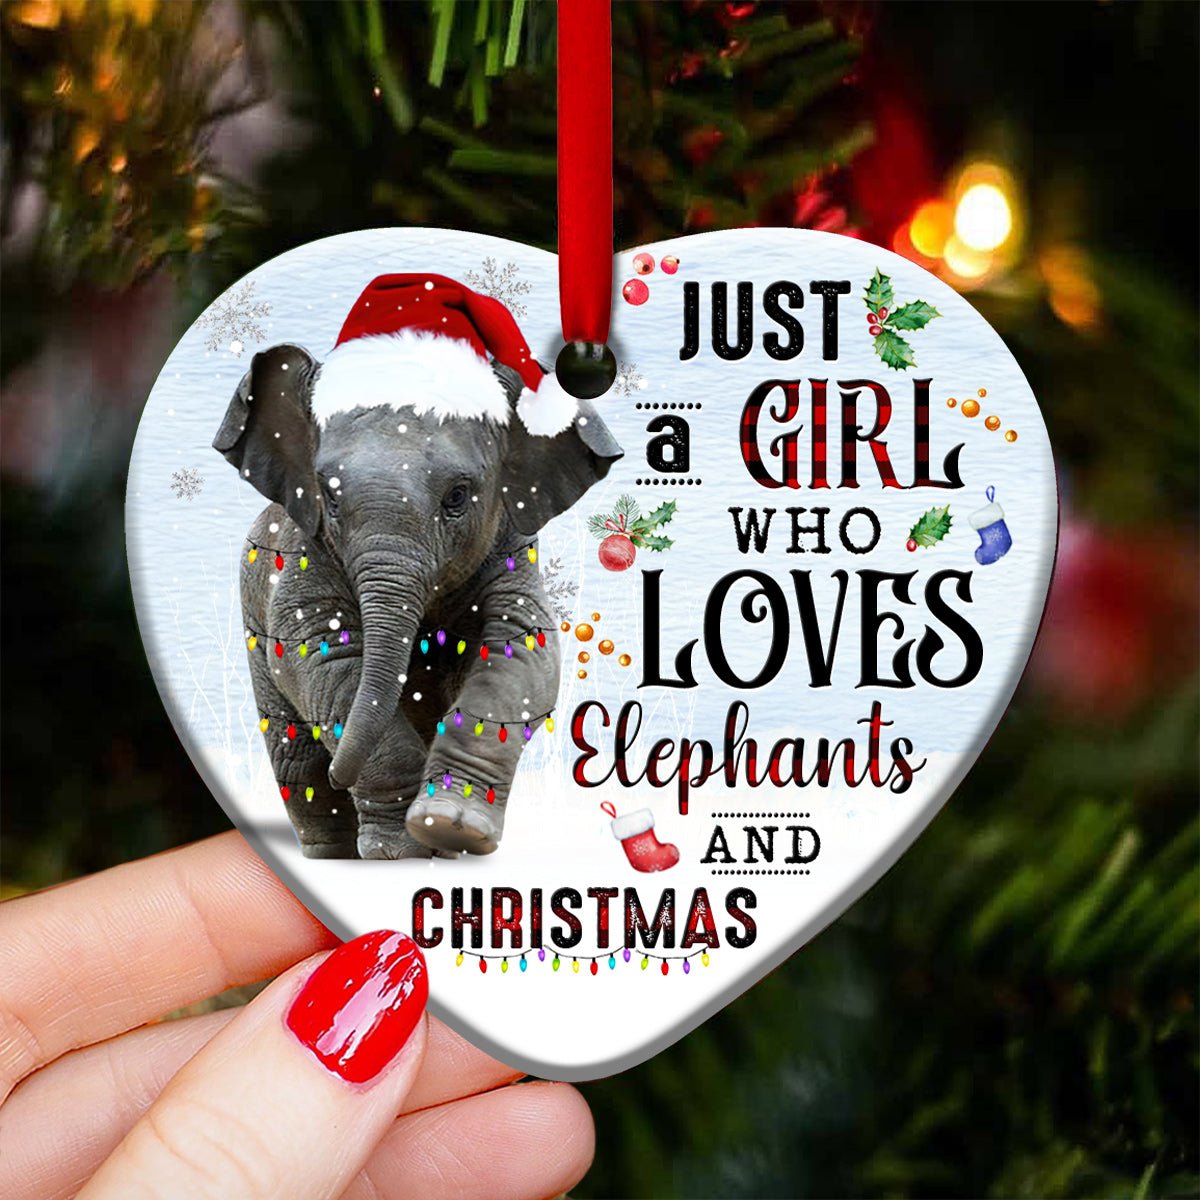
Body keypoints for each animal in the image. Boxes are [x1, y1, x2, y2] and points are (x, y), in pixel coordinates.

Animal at [212, 318, 622, 860]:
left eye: (457, 497)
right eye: (329, 498)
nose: (341, 772)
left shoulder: (511, 548)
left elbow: (521, 654)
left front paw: (450, 827)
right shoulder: (301, 557)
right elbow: (327, 657)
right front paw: (401, 853)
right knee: (297, 760)